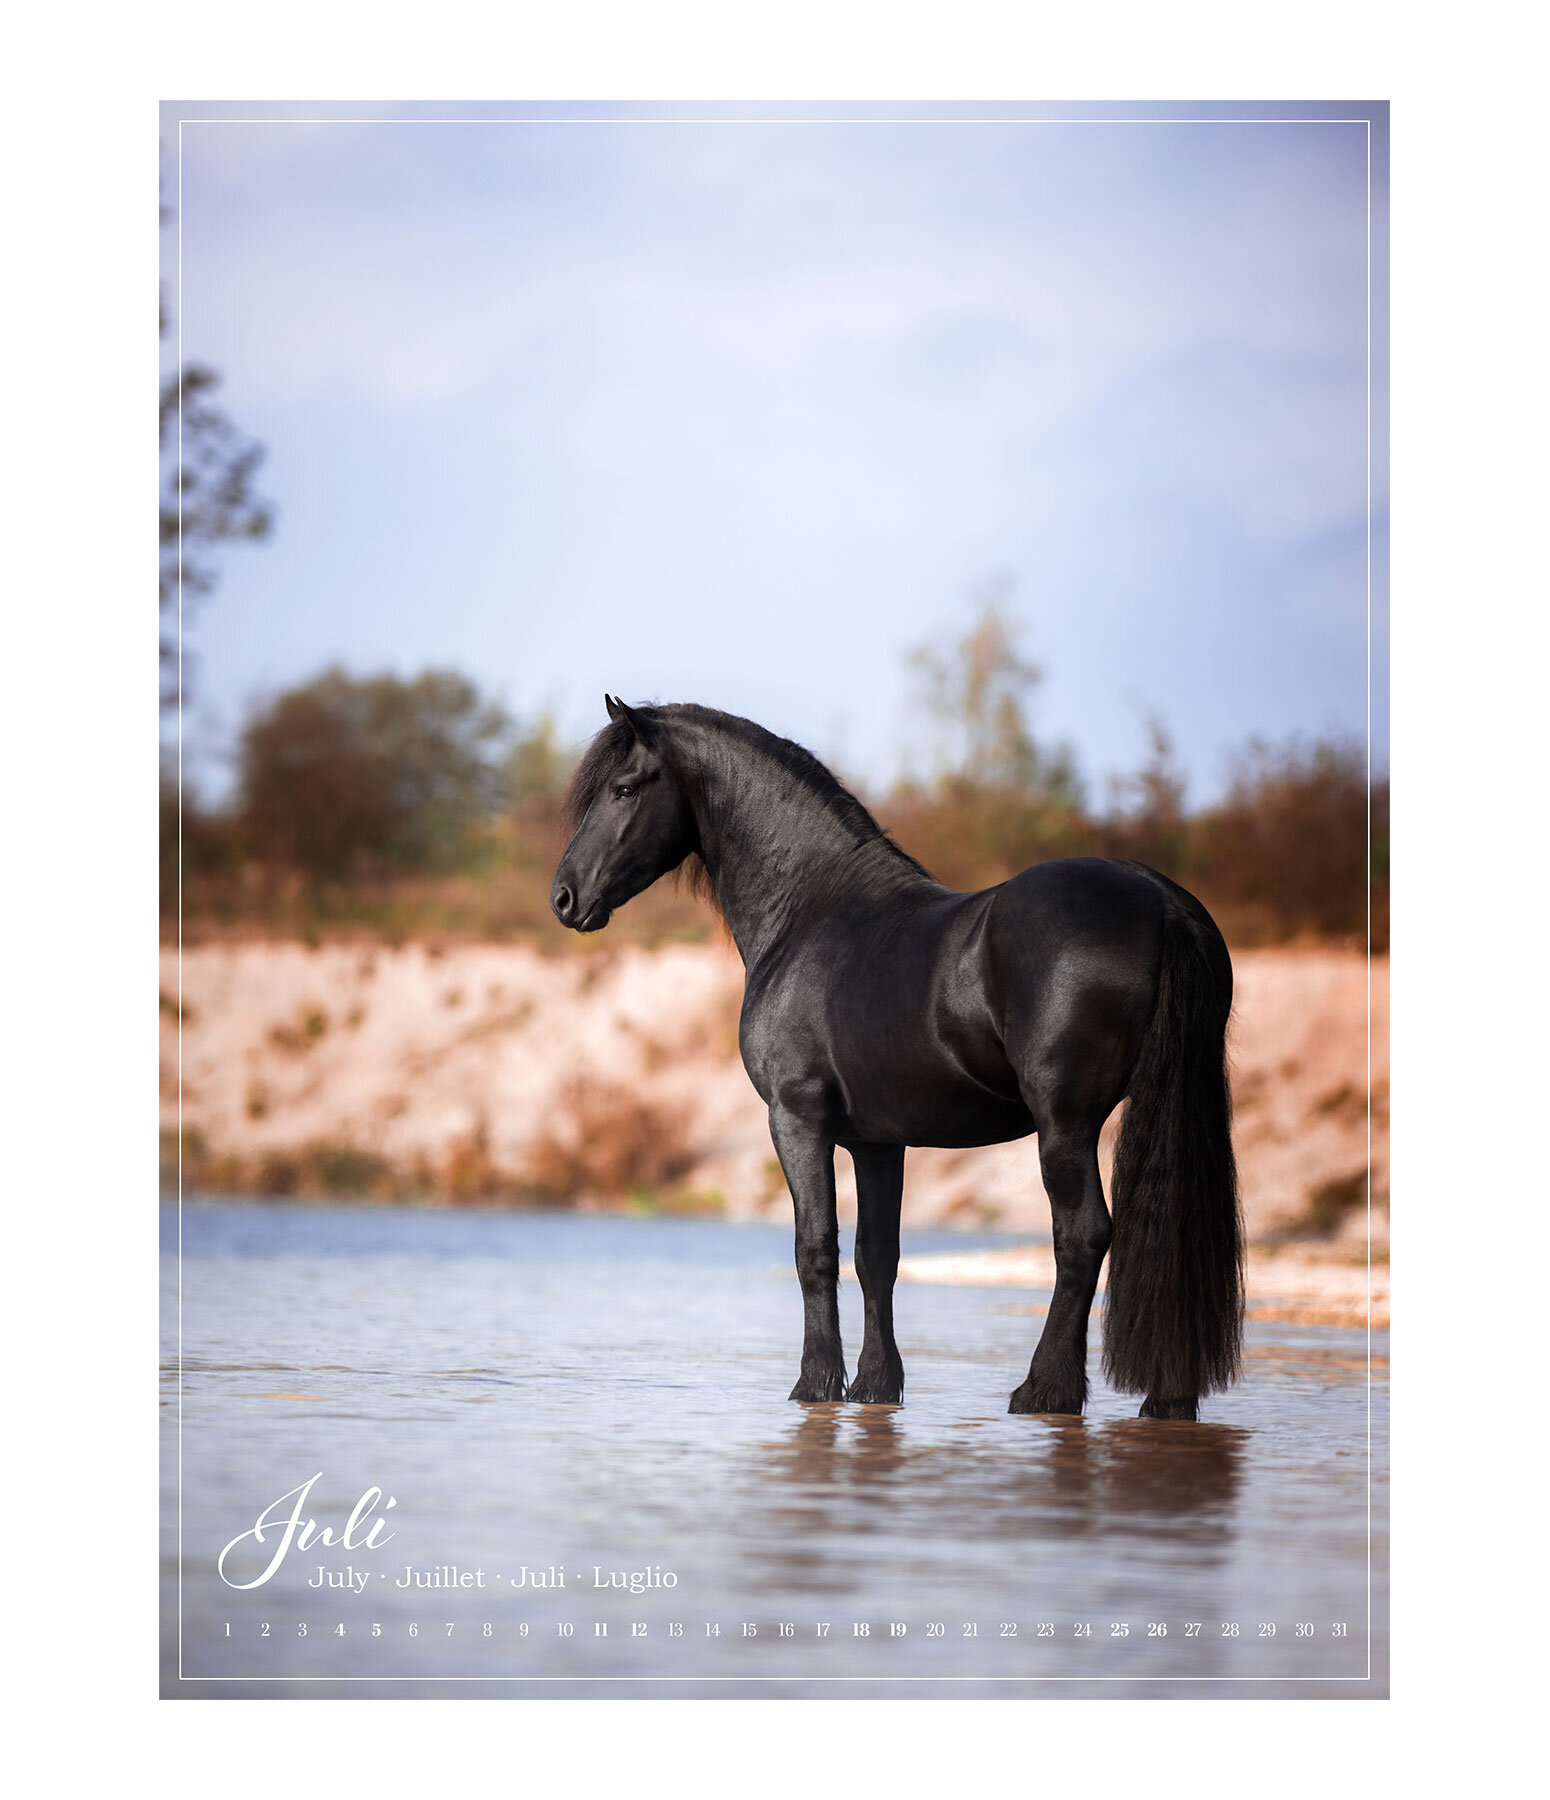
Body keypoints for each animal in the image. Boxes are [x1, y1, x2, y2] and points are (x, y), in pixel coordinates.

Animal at [551, 697, 1243, 1421]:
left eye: (624, 788)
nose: (564, 897)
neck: (811, 912)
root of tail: (1161, 903)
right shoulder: (878, 1142)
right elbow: (876, 1256)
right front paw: (875, 1387)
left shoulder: (796, 1120)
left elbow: (815, 1248)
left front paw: (815, 1384)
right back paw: (1166, 1400)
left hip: (1065, 1124)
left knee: (1081, 1236)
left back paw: (1043, 1390)